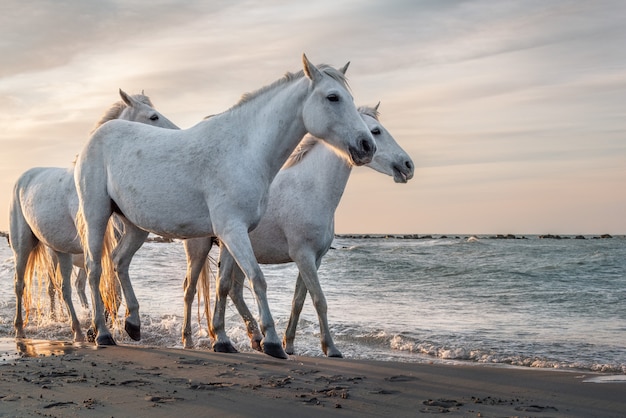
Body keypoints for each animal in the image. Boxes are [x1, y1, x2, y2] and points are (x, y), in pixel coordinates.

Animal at [7, 90, 178, 342]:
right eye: (153, 117)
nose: (178, 133)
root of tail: (24, 177)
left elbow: (112, 289)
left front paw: (108, 327)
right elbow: (101, 282)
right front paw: (101, 329)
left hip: (61, 251)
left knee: (64, 289)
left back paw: (77, 331)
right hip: (24, 246)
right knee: (22, 284)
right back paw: (20, 330)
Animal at [73, 54, 376, 358]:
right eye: (333, 97)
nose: (367, 145)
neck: (245, 150)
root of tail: (93, 138)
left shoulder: (233, 234)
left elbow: (224, 285)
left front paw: (222, 340)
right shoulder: (233, 231)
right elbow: (257, 279)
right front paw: (272, 342)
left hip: (136, 227)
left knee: (119, 261)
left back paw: (133, 324)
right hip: (97, 215)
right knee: (94, 269)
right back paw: (102, 334)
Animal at [183, 103, 412, 356]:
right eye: (375, 131)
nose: (407, 165)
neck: (311, 190)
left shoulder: (315, 259)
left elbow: (299, 301)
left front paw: (289, 344)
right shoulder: (304, 256)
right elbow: (319, 300)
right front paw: (331, 348)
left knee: (233, 290)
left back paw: (255, 338)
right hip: (199, 249)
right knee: (190, 290)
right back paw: (189, 340)